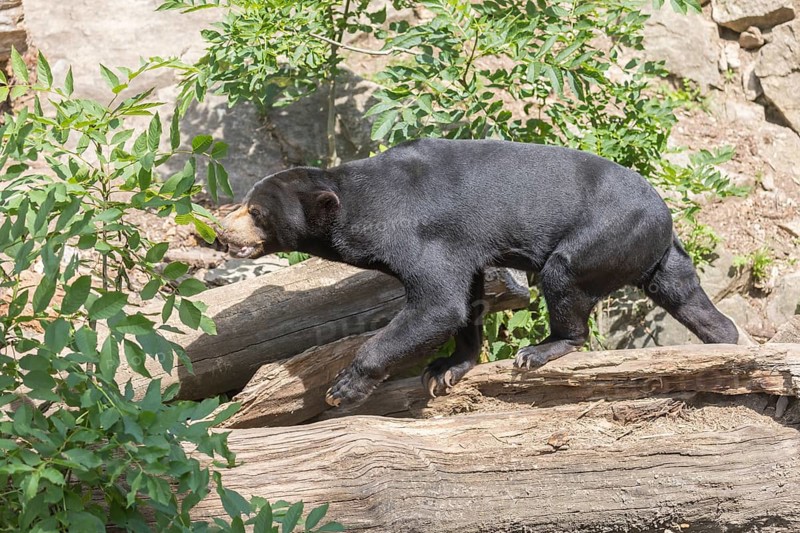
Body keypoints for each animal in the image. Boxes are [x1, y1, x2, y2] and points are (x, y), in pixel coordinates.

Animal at [219, 138, 738, 408]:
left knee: (563, 277)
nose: (222, 232)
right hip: (651, 253)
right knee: (687, 296)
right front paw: (445, 370)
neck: (359, 205)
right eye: (245, 203)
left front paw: (344, 388)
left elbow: (436, 304)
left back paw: (541, 349)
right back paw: (726, 340)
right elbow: (464, 301)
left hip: (602, 236)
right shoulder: (461, 248)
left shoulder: (420, 234)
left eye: (257, 213)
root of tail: (665, 216)